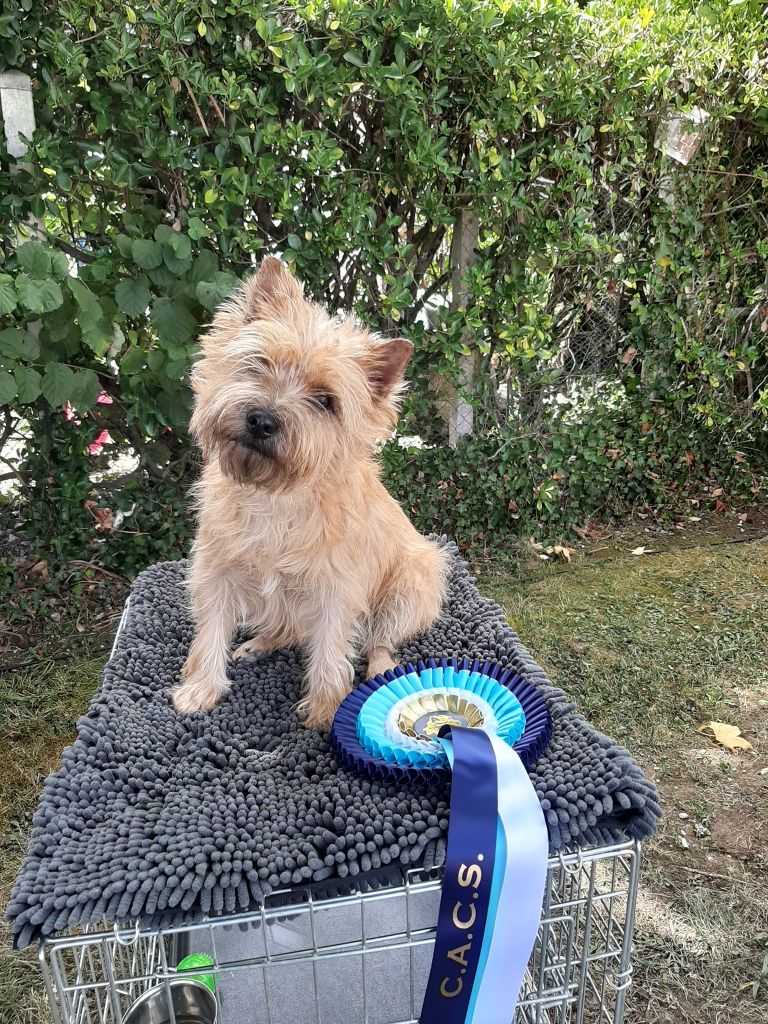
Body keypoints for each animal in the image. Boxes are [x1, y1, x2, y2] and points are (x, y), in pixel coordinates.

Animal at [173, 256, 450, 729]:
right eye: (259, 363)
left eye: (325, 400)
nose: (262, 420)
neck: (276, 496)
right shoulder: (217, 571)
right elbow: (210, 630)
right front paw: (201, 688)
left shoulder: (336, 589)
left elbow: (331, 649)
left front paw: (324, 710)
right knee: (286, 628)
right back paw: (258, 644)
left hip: (411, 583)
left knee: (379, 640)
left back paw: (382, 670)